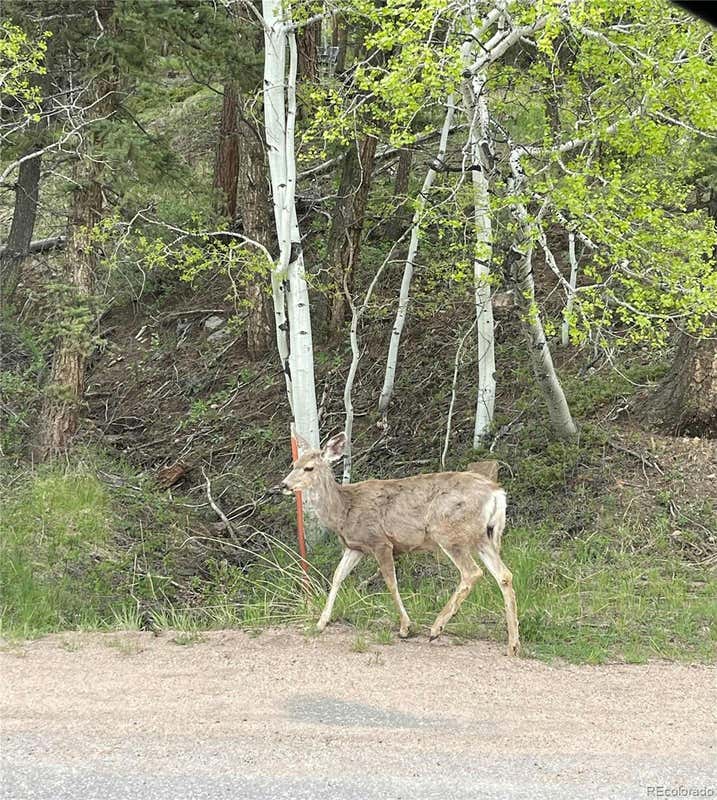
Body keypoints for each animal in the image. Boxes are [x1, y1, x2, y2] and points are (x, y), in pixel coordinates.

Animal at [276, 434, 516, 652]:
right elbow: (337, 577)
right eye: (294, 464)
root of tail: (497, 492)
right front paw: (320, 623)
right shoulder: (355, 547)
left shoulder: (380, 541)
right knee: (504, 575)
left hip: (449, 532)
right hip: (484, 537)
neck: (343, 510)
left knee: (472, 572)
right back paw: (513, 645)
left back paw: (435, 629)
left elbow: (391, 581)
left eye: (309, 468)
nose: (283, 484)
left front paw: (405, 628)